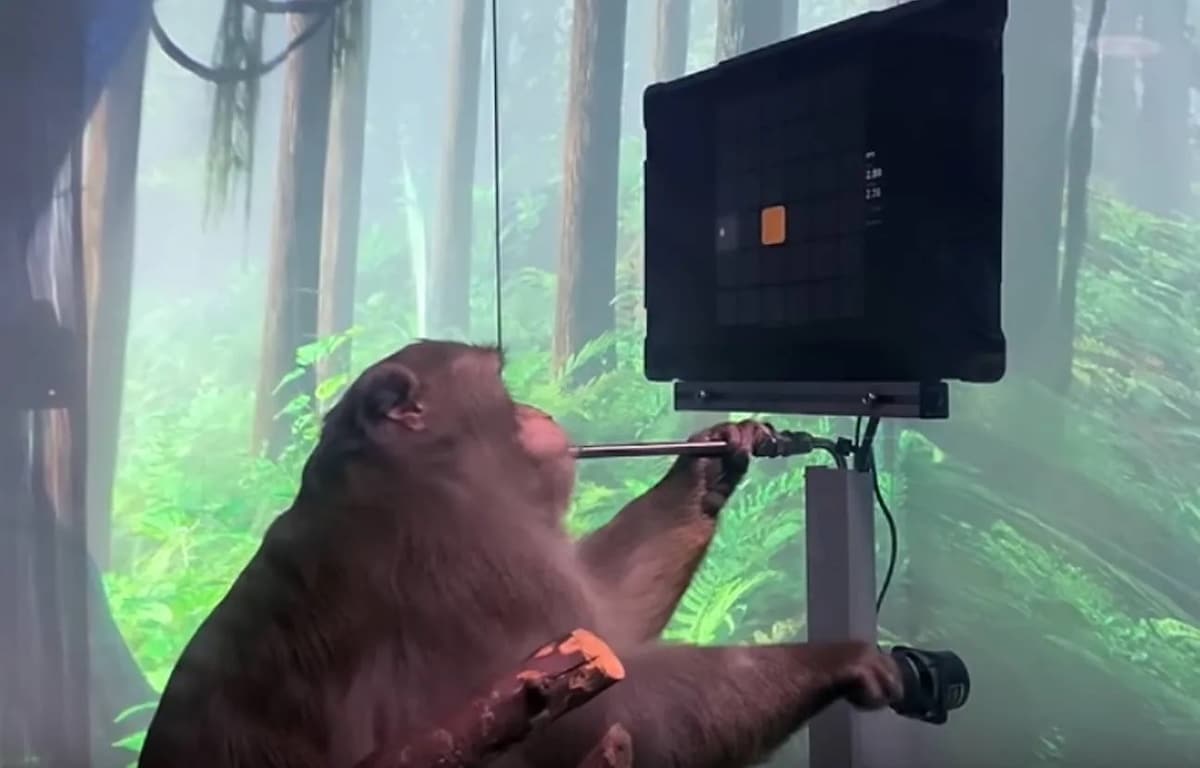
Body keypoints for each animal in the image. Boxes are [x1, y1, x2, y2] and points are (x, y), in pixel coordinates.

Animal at [138, 340, 902, 768]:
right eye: (501, 387)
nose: (539, 409)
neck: (410, 471)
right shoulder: (464, 551)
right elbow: (610, 712)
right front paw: (835, 659)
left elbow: (604, 623)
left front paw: (711, 462)